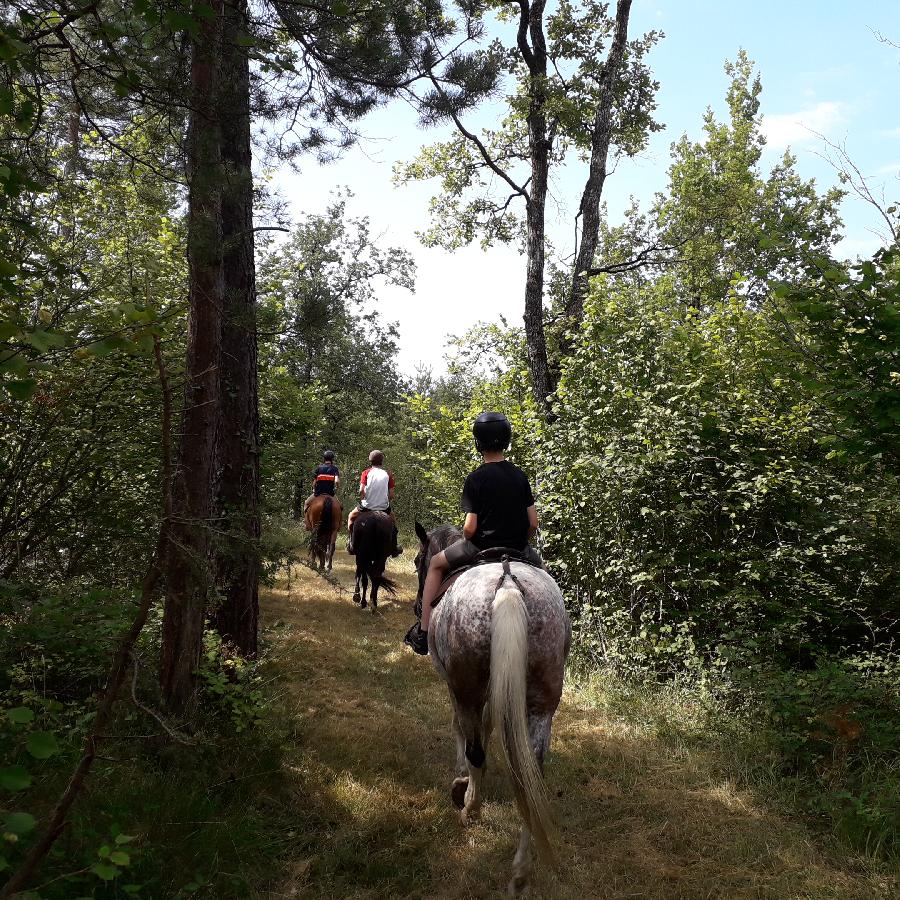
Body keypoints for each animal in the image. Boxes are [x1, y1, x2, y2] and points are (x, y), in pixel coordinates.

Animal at [414, 524, 568, 896]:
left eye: (416, 563)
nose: (417, 606)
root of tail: (508, 582)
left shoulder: (457, 687)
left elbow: (463, 729)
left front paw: (462, 780)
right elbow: (485, 726)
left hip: (466, 687)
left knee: (475, 749)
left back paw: (469, 807)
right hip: (542, 702)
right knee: (532, 773)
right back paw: (521, 872)